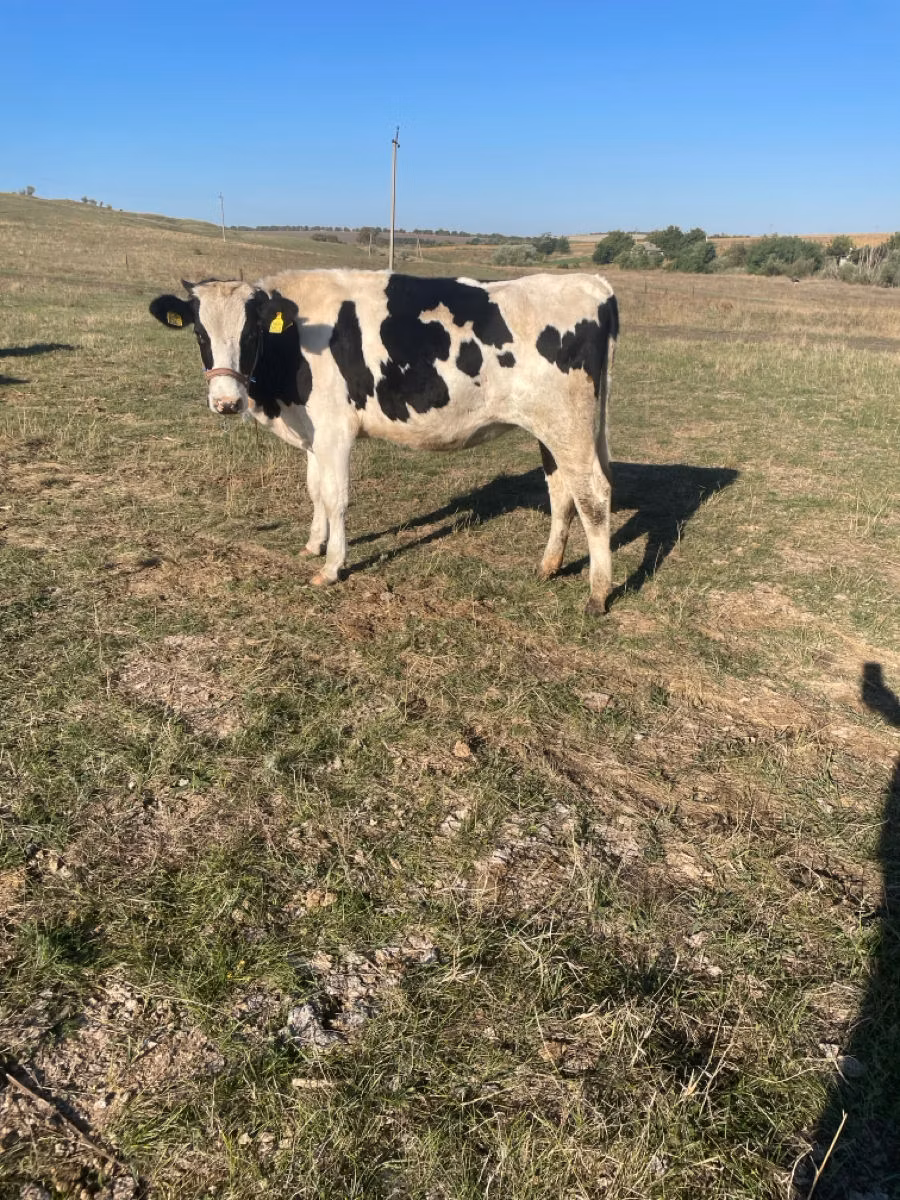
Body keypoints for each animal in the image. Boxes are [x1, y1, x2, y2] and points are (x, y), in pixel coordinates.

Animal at [150, 269, 619, 612]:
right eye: (200, 334)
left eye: (250, 335)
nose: (226, 402)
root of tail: (592, 284)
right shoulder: (313, 433)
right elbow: (315, 490)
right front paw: (313, 545)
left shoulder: (335, 430)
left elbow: (336, 497)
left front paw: (332, 567)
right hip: (556, 429)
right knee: (561, 491)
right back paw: (548, 567)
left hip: (568, 424)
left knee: (593, 496)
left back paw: (597, 593)